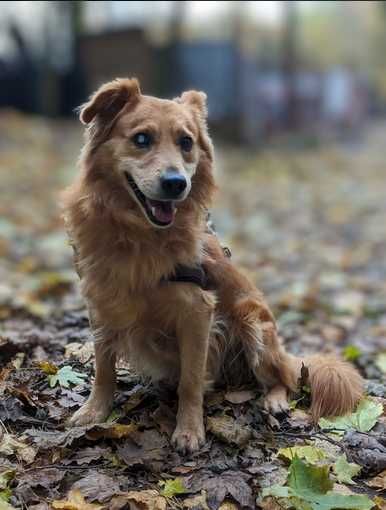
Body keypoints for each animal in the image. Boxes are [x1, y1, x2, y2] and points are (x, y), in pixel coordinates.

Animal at [61, 79, 364, 454]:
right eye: (142, 139)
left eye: (186, 142)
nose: (176, 183)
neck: (139, 236)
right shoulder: (101, 302)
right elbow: (104, 368)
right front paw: (95, 410)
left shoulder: (197, 313)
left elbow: (191, 381)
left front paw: (190, 430)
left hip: (253, 323)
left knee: (282, 378)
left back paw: (275, 400)